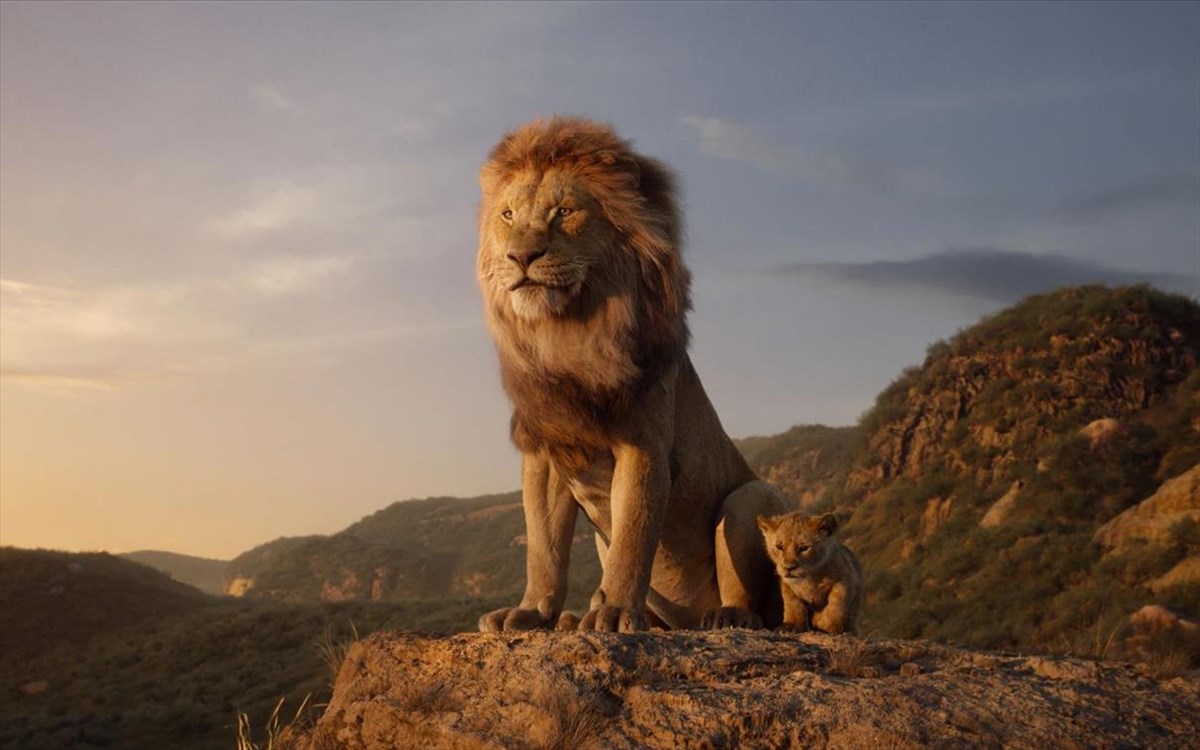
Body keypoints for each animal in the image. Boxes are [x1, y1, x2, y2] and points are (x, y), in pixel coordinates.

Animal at [475, 116, 788, 633]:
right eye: (507, 215)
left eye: (564, 211)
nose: (521, 257)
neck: (567, 333)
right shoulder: (546, 450)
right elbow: (544, 546)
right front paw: (532, 611)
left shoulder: (643, 445)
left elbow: (633, 536)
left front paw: (616, 612)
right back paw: (576, 618)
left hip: (750, 497)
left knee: (754, 600)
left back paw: (726, 617)